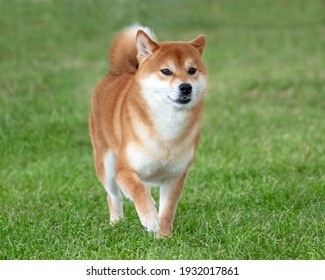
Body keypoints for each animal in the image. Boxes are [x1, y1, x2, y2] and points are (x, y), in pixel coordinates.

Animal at [89, 25, 208, 237]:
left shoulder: (175, 176)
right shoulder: (124, 169)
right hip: (106, 164)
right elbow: (138, 190)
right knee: (113, 195)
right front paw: (150, 219)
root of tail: (120, 71)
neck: (168, 127)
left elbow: (168, 209)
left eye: (192, 70)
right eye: (166, 71)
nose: (186, 87)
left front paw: (164, 236)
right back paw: (116, 223)